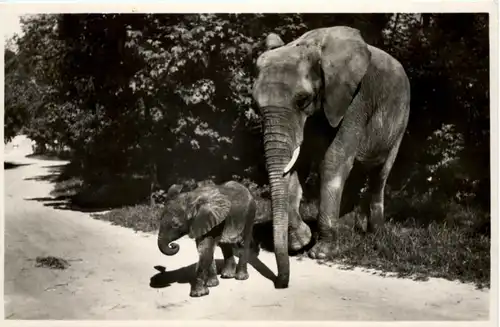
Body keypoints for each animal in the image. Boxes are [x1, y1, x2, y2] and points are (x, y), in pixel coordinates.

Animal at [252, 26, 412, 290]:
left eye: (302, 100)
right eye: (255, 104)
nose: (281, 283)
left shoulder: (354, 99)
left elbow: (333, 162)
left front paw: (321, 253)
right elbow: (295, 166)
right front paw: (301, 242)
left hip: (401, 119)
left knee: (380, 173)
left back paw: (374, 233)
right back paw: (350, 228)